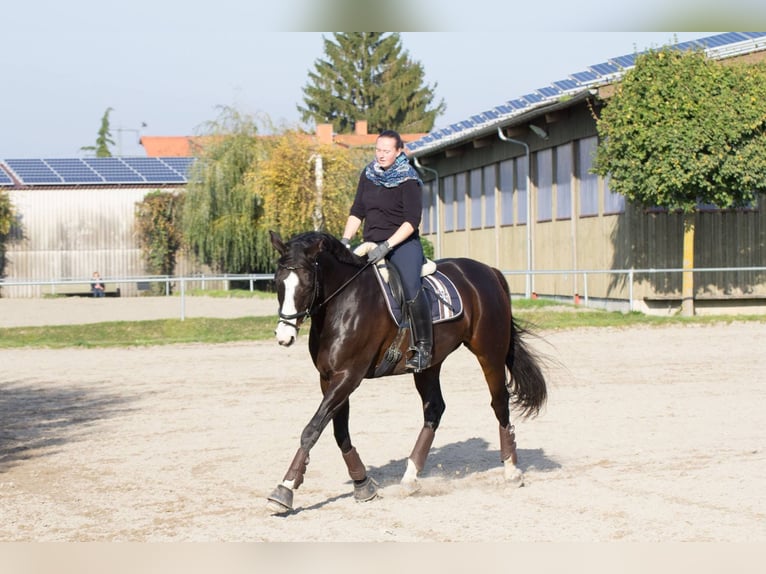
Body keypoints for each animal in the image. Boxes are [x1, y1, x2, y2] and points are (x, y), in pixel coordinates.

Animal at [268, 232, 548, 516]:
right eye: (278, 281)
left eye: (306, 283)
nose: (284, 336)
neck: (343, 302)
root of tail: (489, 271)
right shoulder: (329, 378)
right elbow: (338, 432)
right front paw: (363, 485)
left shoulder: (348, 376)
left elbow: (312, 428)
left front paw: (285, 489)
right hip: (429, 365)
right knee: (434, 408)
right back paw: (411, 478)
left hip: (490, 353)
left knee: (500, 403)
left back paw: (511, 471)